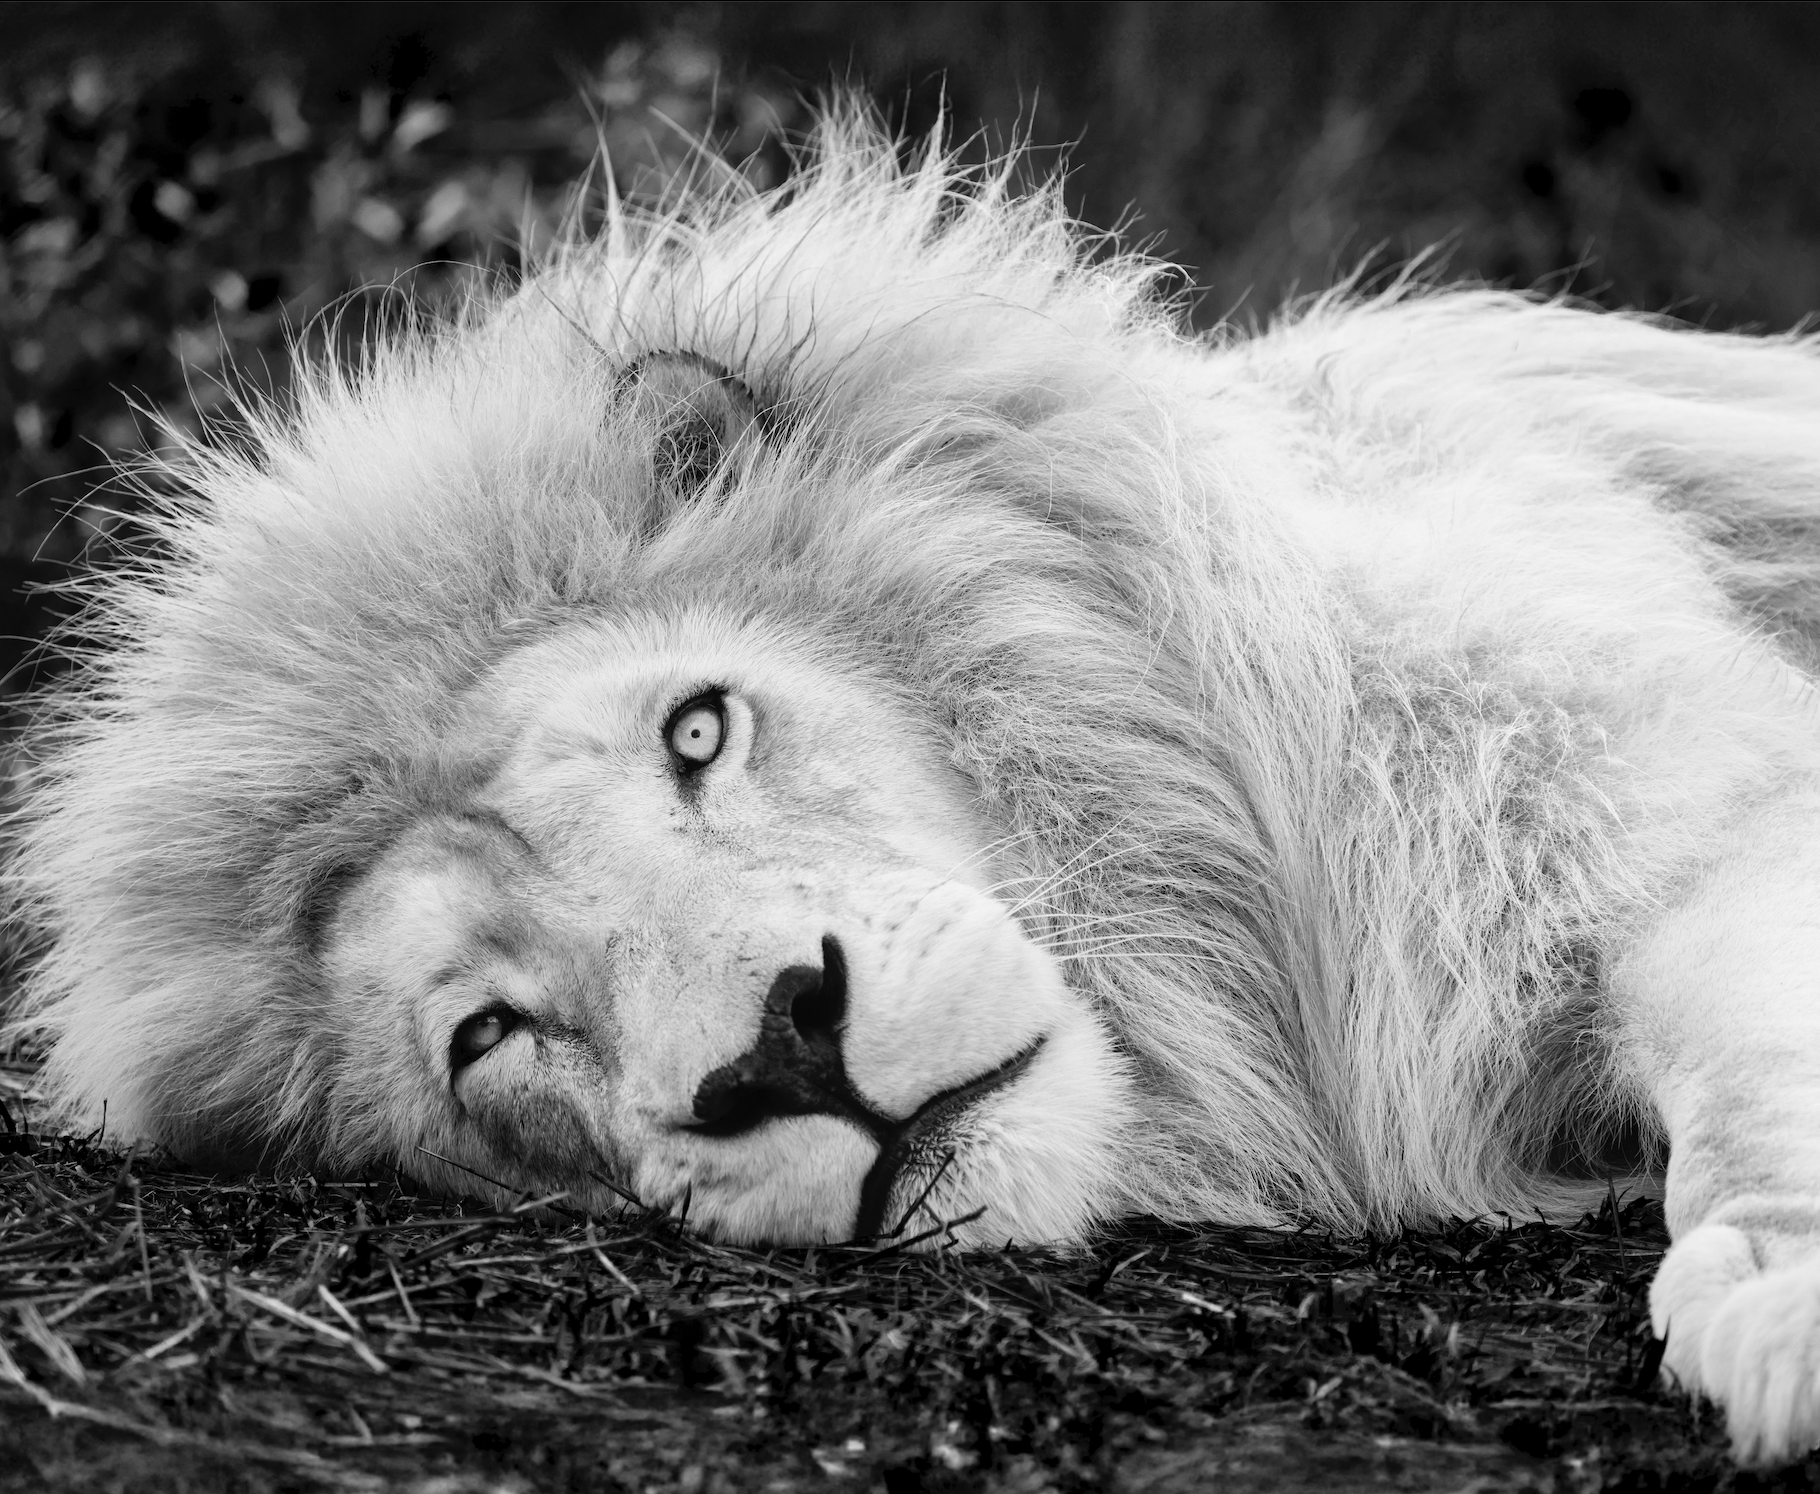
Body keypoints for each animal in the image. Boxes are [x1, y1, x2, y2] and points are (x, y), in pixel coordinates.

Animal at [10, 109, 1820, 1462]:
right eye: (485, 1032)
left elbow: (1751, 1072)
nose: (780, 1052)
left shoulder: (1672, 804)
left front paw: (1783, 1303)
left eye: (697, 732)